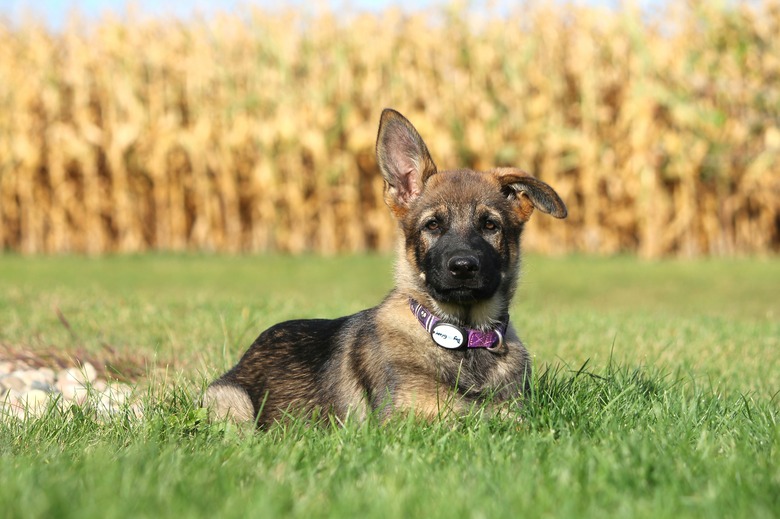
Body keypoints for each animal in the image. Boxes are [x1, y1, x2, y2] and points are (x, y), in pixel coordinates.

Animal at [204, 108, 564, 426]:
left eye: (490, 225)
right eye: (433, 225)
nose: (463, 267)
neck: (463, 336)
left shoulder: (515, 417)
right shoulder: (406, 422)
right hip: (230, 402)